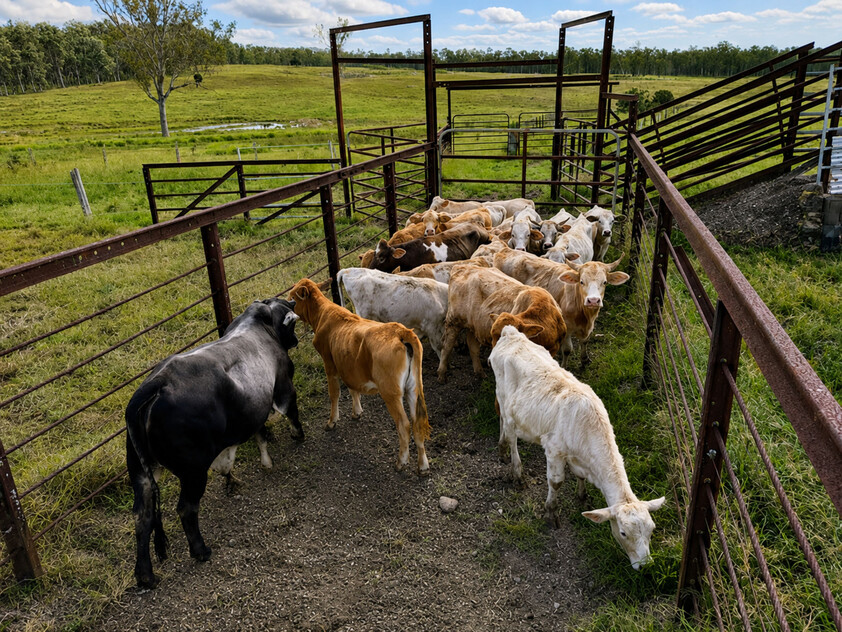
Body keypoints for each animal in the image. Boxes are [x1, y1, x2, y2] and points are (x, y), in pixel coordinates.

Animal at [125, 298, 301, 588]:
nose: (296, 340)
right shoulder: (284, 386)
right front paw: (298, 437)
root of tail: (155, 384)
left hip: (141, 474)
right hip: (193, 472)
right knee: (186, 509)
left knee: (143, 517)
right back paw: (200, 550)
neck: (260, 326)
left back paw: (145, 575)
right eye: (293, 323)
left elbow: (259, 434)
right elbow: (292, 414)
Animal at [288, 278, 431, 475]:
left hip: (391, 393)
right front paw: (357, 411)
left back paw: (401, 461)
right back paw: (423, 465)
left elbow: (334, 394)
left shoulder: (329, 365)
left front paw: (332, 421)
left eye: (292, 298)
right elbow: (353, 388)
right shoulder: (348, 366)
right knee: (417, 423)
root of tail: (401, 331)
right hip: (414, 388)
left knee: (404, 424)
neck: (323, 314)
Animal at [436, 264, 567, 383]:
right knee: (447, 346)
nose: (492, 361)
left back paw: (480, 373)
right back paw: (442, 374)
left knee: (472, 346)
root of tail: (463, 266)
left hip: (473, 325)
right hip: (453, 321)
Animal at [489, 325, 665, 569]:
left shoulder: (581, 459)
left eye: (652, 529)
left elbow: (580, 477)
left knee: (503, 423)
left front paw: (582, 496)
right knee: (510, 429)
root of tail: (510, 332)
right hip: (505, 399)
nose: (646, 564)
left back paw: (502, 448)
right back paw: (516, 470)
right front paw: (551, 513)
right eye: (623, 533)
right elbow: (556, 483)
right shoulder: (554, 450)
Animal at [493, 249, 628, 367]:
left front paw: (584, 359)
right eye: (581, 281)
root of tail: (505, 250)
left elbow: (585, 341)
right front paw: (564, 366)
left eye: (604, 282)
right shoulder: (567, 328)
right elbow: (567, 349)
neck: (585, 317)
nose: (593, 300)